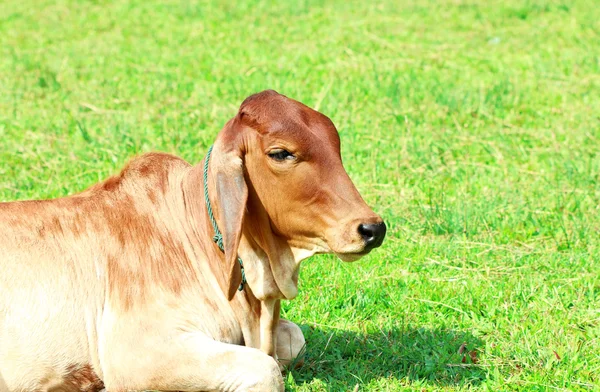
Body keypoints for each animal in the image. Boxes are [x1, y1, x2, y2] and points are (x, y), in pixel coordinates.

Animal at [0, 90, 384, 390]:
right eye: (280, 153)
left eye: (335, 145)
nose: (372, 228)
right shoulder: (138, 350)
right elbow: (266, 370)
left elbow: (294, 341)